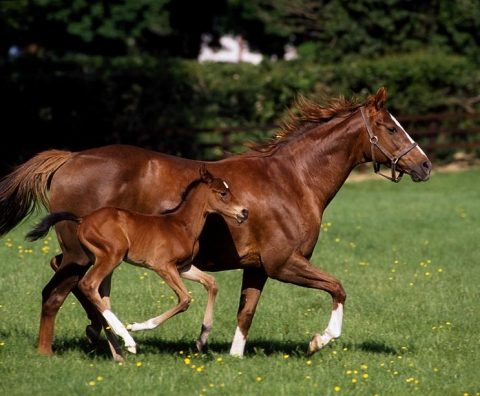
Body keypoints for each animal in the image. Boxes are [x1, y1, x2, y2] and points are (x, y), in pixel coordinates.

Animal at [27, 166, 248, 354]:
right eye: (222, 193)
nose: (244, 212)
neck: (182, 225)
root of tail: (83, 219)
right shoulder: (163, 266)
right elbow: (185, 299)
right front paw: (137, 326)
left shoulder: (183, 267)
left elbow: (212, 283)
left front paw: (202, 339)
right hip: (112, 255)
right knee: (88, 284)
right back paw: (128, 340)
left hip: (96, 257)